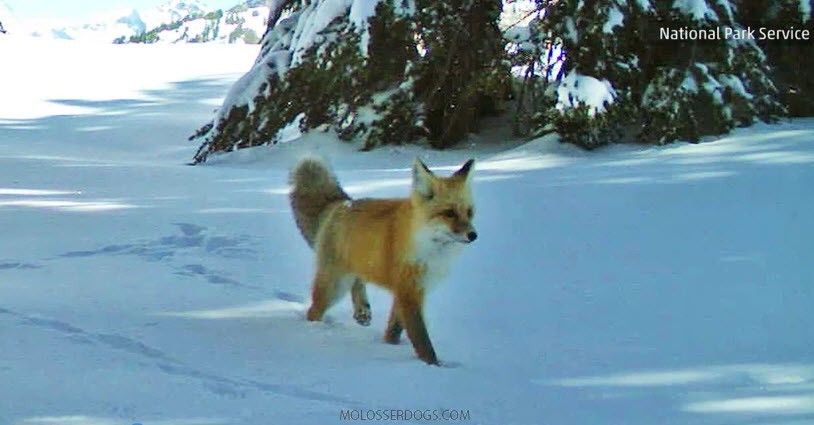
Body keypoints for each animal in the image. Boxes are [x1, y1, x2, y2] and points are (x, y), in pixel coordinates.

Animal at [290, 157, 478, 362]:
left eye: (469, 212)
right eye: (449, 213)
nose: (473, 235)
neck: (429, 249)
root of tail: (342, 203)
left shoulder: (411, 289)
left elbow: (394, 330)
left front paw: (389, 346)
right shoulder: (408, 292)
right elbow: (422, 342)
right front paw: (433, 365)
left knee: (358, 281)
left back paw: (362, 311)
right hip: (335, 285)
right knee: (313, 310)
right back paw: (315, 331)